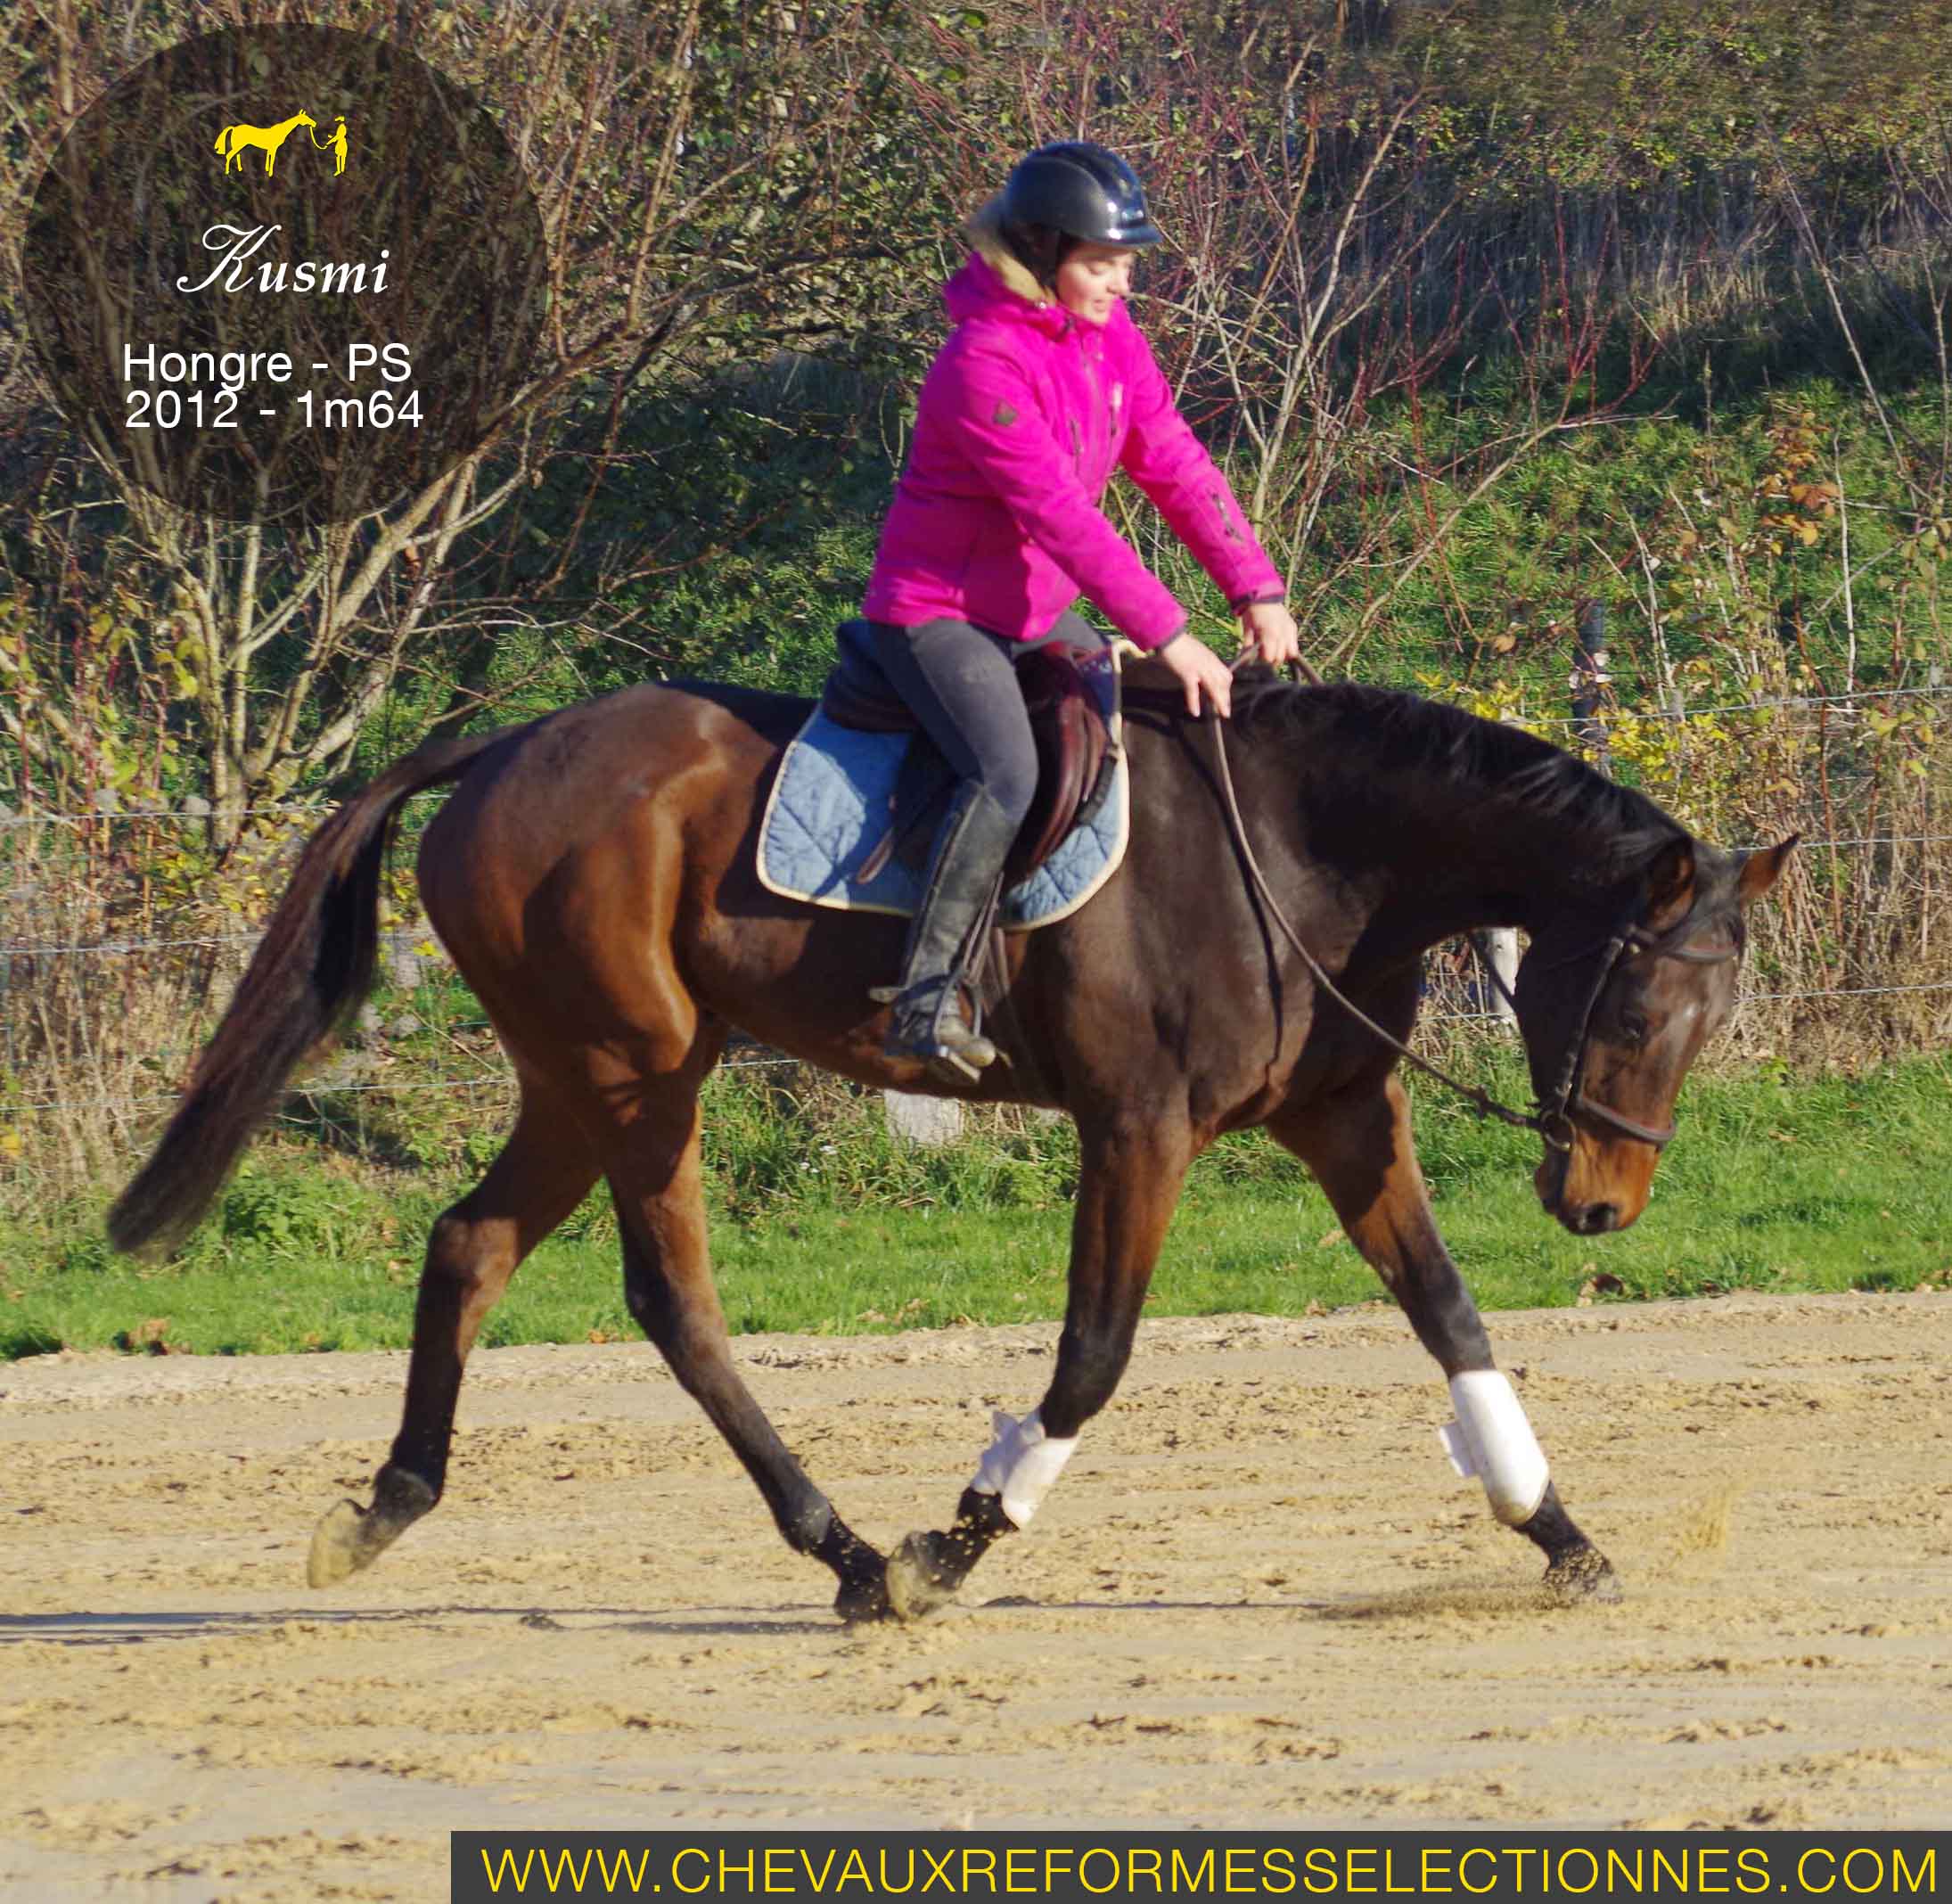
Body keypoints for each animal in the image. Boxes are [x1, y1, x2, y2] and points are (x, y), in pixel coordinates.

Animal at [103, 668, 1788, 1624]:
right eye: (1637, 1007)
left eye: (1706, 1023)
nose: (1602, 1204)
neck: (1307, 853)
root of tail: (511, 748)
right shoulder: (1138, 1131)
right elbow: (1092, 1361)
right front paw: (958, 1544)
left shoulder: (1343, 1121)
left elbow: (1452, 1319)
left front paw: (1559, 1536)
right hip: (635, 1075)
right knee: (670, 1300)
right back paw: (852, 1557)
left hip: (584, 1081)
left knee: (470, 1246)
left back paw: (388, 1507)